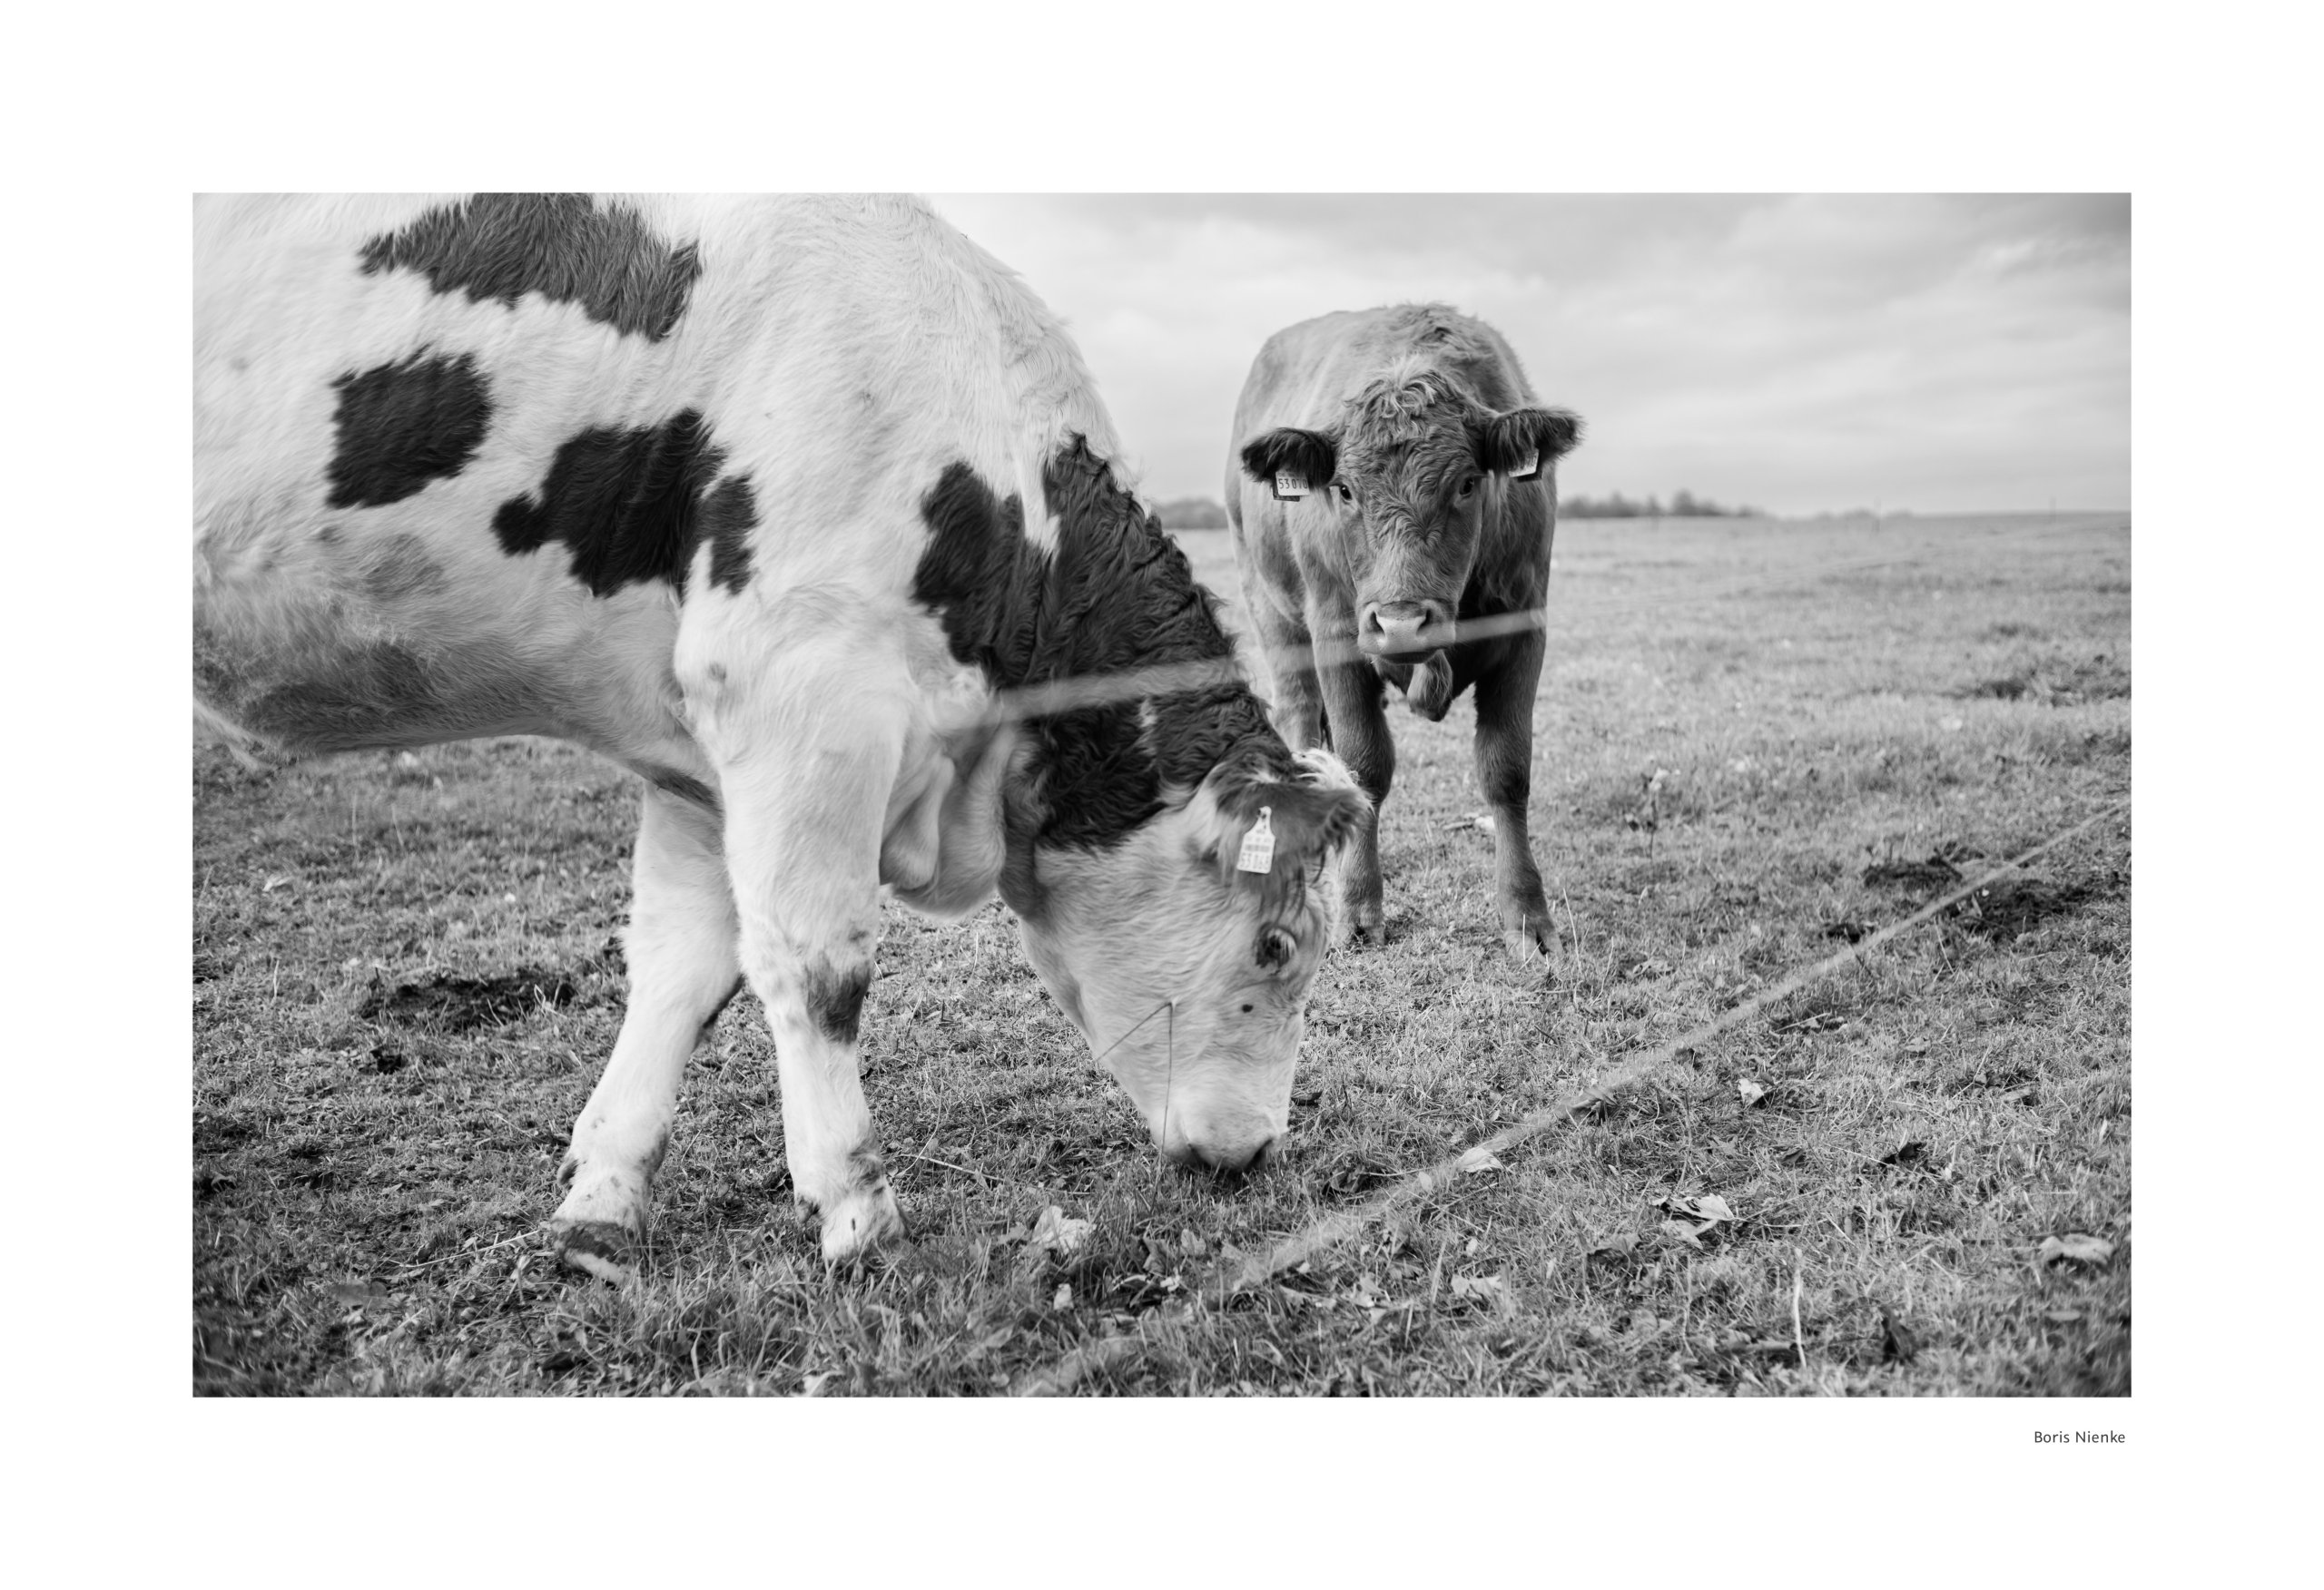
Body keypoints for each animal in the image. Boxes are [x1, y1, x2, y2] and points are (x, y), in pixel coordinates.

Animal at [195, 194, 1367, 1273]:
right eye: (1276, 945)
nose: (1257, 1150)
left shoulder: (694, 762)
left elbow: (680, 969)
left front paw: (602, 1202)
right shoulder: (801, 692)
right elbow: (819, 969)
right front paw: (857, 1212)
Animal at [1226, 304, 1581, 960]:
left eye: (1467, 483)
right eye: (1344, 489)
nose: (1400, 622)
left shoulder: (1525, 633)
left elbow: (1507, 772)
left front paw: (1526, 916)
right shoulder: (1335, 635)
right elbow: (1365, 766)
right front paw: (1358, 909)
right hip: (1274, 616)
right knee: (1300, 719)